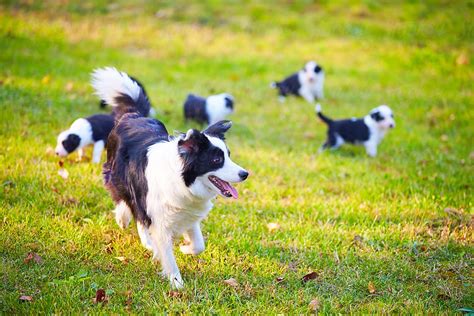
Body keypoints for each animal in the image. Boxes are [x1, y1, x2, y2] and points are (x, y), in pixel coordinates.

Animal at [92, 67, 248, 288]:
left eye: (229, 155)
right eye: (217, 159)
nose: (245, 174)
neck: (183, 181)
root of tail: (133, 115)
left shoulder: (189, 213)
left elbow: (199, 245)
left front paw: (185, 248)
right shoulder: (159, 219)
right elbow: (167, 255)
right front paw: (177, 284)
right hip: (122, 178)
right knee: (127, 203)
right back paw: (126, 222)